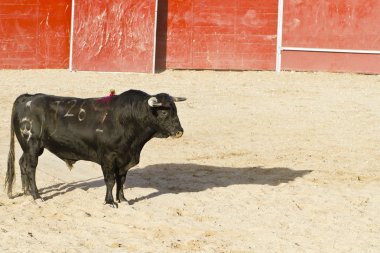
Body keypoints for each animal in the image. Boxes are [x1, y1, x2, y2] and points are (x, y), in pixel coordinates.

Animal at [4, 90, 186, 207]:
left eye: (176, 110)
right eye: (164, 112)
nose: (179, 132)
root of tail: (28, 97)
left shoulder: (124, 159)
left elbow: (121, 180)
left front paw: (123, 199)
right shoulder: (108, 157)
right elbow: (110, 180)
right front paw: (110, 201)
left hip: (30, 148)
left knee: (22, 163)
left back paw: (26, 191)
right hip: (32, 145)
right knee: (30, 167)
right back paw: (37, 196)